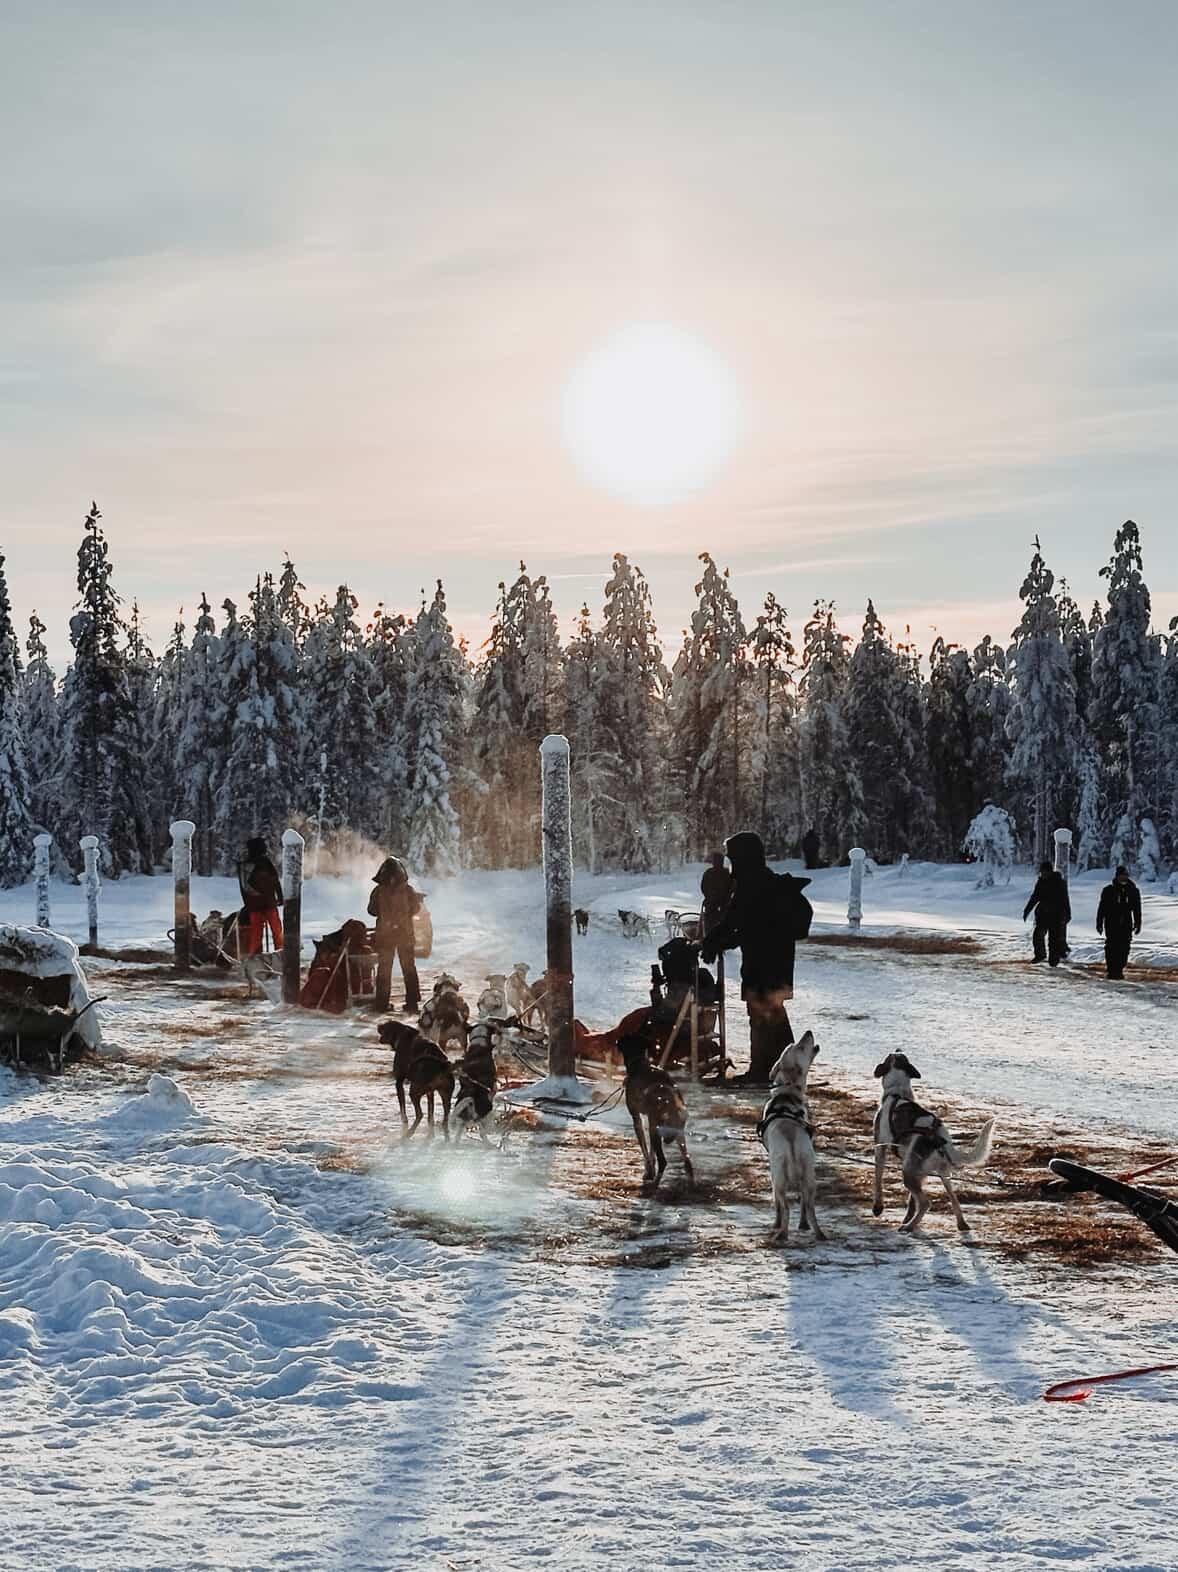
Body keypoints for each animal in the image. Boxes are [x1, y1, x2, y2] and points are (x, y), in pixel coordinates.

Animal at [616, 1033, 694, 1191]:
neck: (639, 1064)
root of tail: (671, 1102)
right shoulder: (650, 1121)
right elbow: (650, 1152)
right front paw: (649, 1170)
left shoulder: (637, 1119)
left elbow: (645, 1150)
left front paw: (649, 1172)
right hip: (677, 1134)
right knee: (688, 1162)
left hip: (657, 1130)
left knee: (663, 1161)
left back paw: (654, 1183)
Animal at [758, 1031, 825, 1244]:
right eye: (799, 1046)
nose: (808, 1032)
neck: (787, 1094)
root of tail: (792, 1146)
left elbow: (778, 1207)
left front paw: (776, 1224)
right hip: (810, 1178)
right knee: (808, 1206)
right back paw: (816, 1232)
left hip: (778, 1179)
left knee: (784, 1207)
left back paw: (782, 1233)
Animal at [872, 1052, 996, 1233]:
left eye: (889, 1056)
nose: (897, 1049)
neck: (897, 1091)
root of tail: (941, 1139)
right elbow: (911, 1200)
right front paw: (907, 1214)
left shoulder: (880, 1147)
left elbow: (878, 1177)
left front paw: (878, 1207)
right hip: (942, 1174)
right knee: (953, 1199)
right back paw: (960, 1224)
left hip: (908, 1173)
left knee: (926, 1203)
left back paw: (909, 1226)